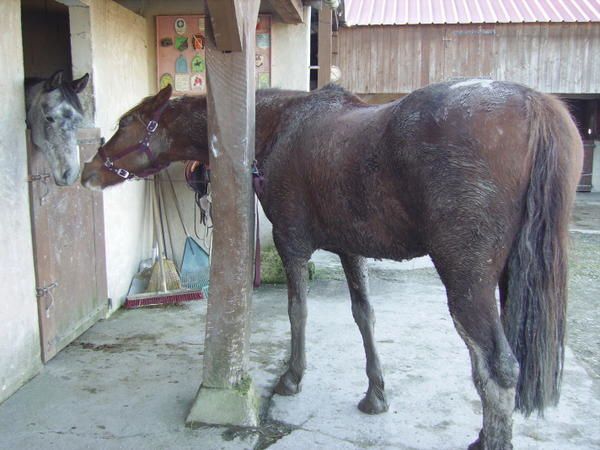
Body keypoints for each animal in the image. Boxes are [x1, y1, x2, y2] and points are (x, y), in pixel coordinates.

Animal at [81, 81, 580, 450]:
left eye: (126, 122)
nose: (87, 171)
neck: (277, 127)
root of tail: (534, 104)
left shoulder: (292, 244)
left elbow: (297, 312)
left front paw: (292, 377)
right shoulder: (349, 250)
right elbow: (364, 316)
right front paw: (375, 393)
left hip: (467, 282)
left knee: (497, 367)